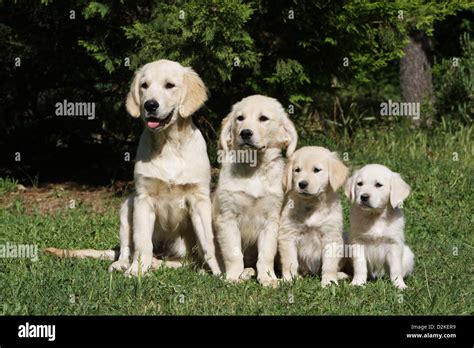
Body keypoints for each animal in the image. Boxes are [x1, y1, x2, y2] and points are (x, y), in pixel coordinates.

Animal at [46, 59, 220, 278]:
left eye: (169, 85)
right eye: (144, 86)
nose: (150, 105)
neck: (168, 144)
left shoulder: (199, 199)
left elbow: (208, 243)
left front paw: (219, 271)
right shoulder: (143, 199)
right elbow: (142, 243)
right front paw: (136, 271)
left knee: (184, 261)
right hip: (126, 206)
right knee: (127, 249)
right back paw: (125, 264)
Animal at [211, 94, 296, 286]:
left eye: (263, 118)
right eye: (239, 118)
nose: (245, 133)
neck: (254, 169)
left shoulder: (271, 220)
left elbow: (266, 254)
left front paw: (267, 278)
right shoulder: (227, 218)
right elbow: (233, 253)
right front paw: (233, 277)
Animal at [278, 145, 348, 286]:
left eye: (316, 170)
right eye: (297, 170)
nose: (302, 184)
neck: (312, 203)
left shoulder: (330, 235)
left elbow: (330, 264)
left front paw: (329, 281)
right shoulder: (288, 234)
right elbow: (290, 261)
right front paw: (289, 279)